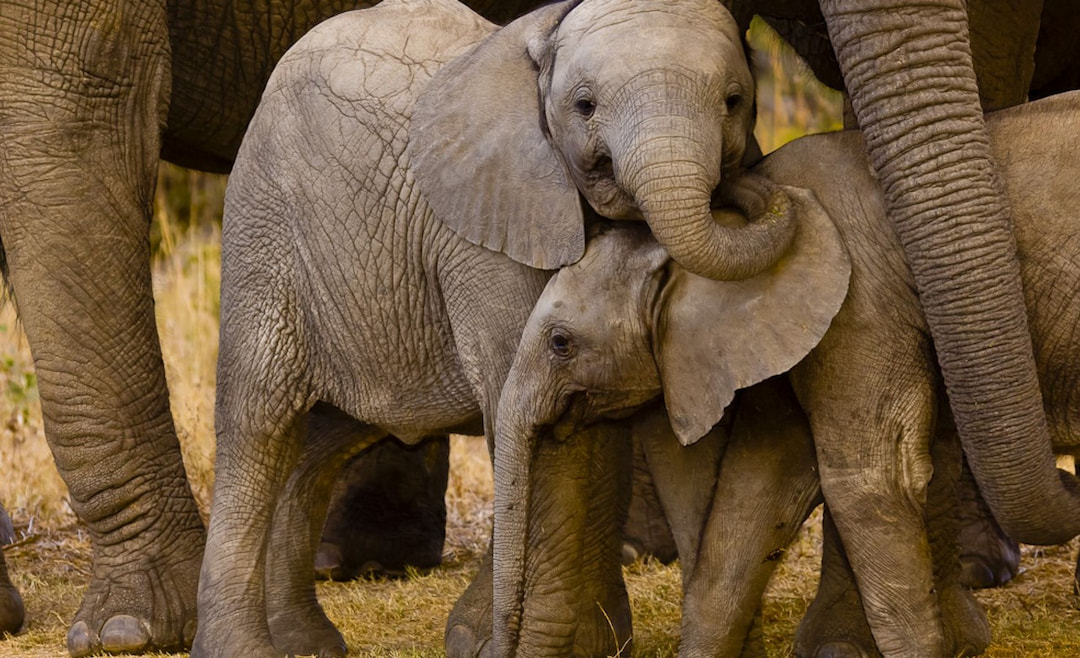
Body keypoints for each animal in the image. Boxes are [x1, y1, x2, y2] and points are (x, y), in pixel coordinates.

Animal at [192, 0, 795, 655]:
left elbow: (586, 422)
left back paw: (306, 643)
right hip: (264, 225)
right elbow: (532, 420)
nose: (748, 188)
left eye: (734, 101)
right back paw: (242, 646)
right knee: (259, 422)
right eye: (585, 105)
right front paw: (500, 642)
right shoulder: (493, 223)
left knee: (328, 437)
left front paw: (584, 642)